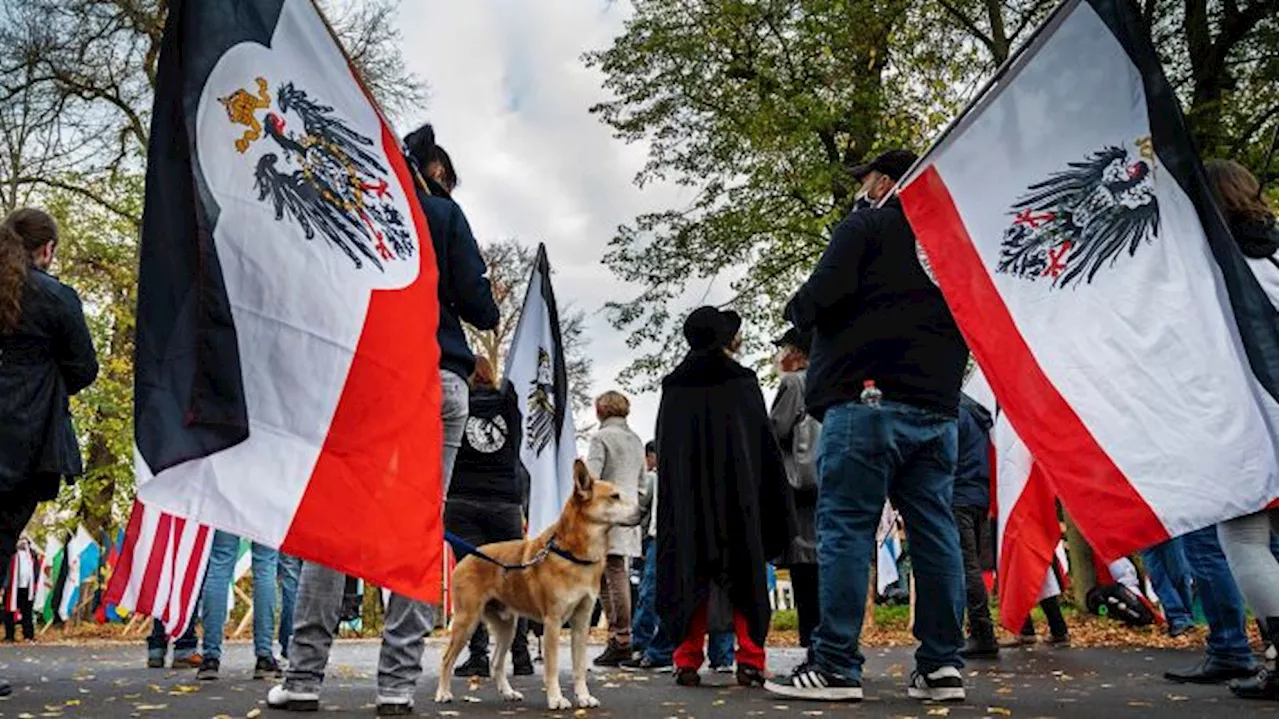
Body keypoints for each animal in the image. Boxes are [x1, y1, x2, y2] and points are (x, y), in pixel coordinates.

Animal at [437, 455, 637, 706]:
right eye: (614, 496)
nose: (643, 511)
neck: (573, 555)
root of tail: (467, 558)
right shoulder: (553, 622)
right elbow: (551, 667)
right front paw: (556, 699)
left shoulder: (581, 623)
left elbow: (579, 667)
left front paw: (583, 697)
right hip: (467, 621)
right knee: (446, 659)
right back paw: (443, 693)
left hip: (507, 626)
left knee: (496, 663)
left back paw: (508, 692)